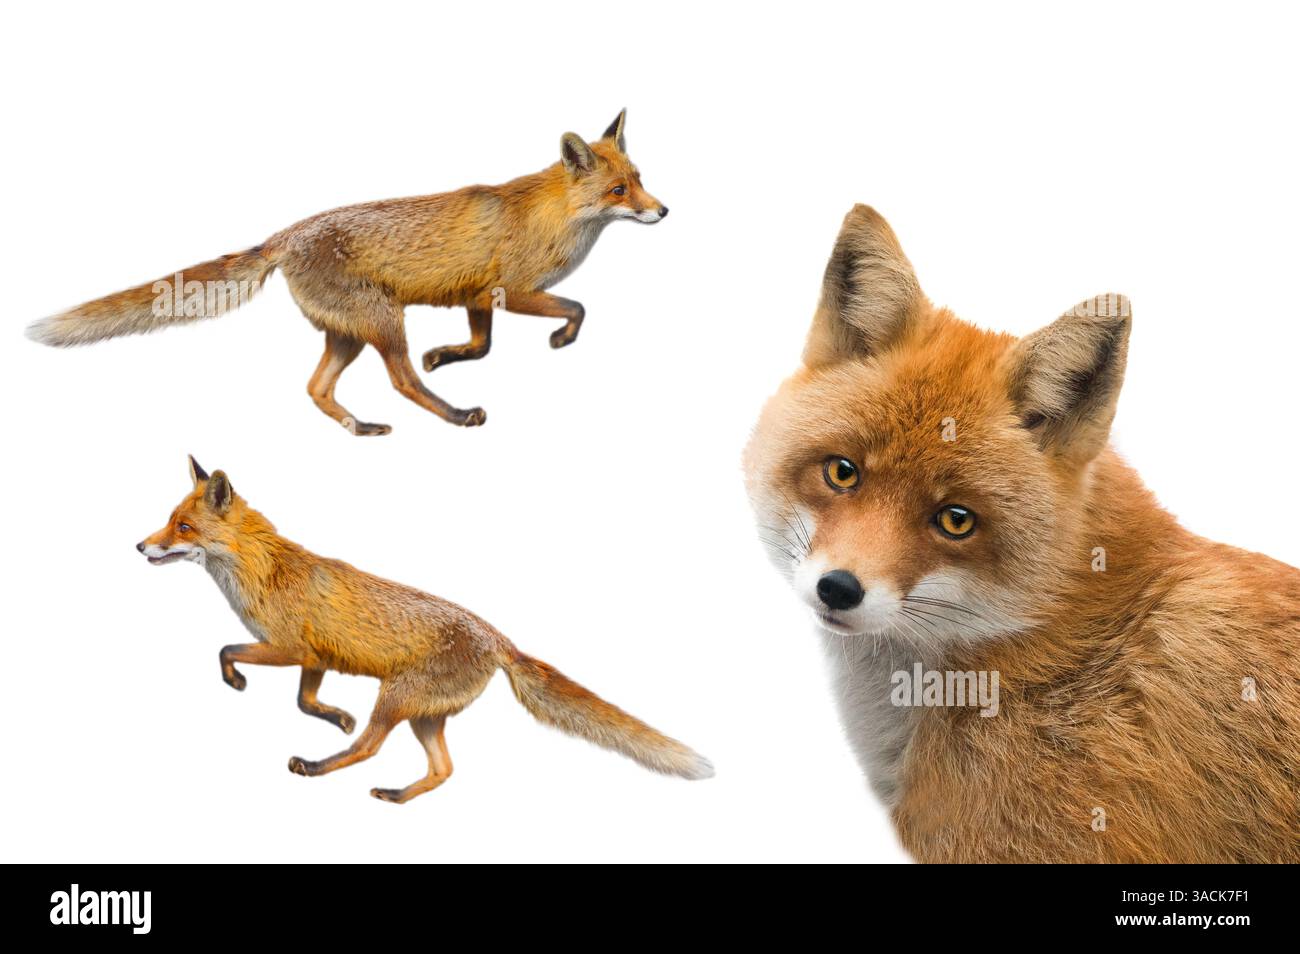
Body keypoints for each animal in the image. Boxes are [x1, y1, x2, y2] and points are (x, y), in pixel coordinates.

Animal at [28, 110, 666, 434]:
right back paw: (455, 415)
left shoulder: (475, 294)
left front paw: (446, 354)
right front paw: (560, 338)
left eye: (638, 179)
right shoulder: (511, 290)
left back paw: (359, 426)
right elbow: (577, 308)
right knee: (400, 382)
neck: (553, 217)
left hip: (349, 333)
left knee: (316, 387)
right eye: (618, 191)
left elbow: (481, 345)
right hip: (383, 322)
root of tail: (284, 237)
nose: (662, 211)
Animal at [136, 456, 712, 802]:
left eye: (182, 527)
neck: (265, 571)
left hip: (396, 699)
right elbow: (304, 700)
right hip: (423, 715)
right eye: (168, 520)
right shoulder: (317, 657)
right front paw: (336, 715)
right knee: (444, 770)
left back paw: (318, 768)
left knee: (370, 749)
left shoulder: (287, 647)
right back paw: (395, 795)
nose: (140, 546)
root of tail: (499, 640)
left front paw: (235, 680)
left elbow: (226, 649)